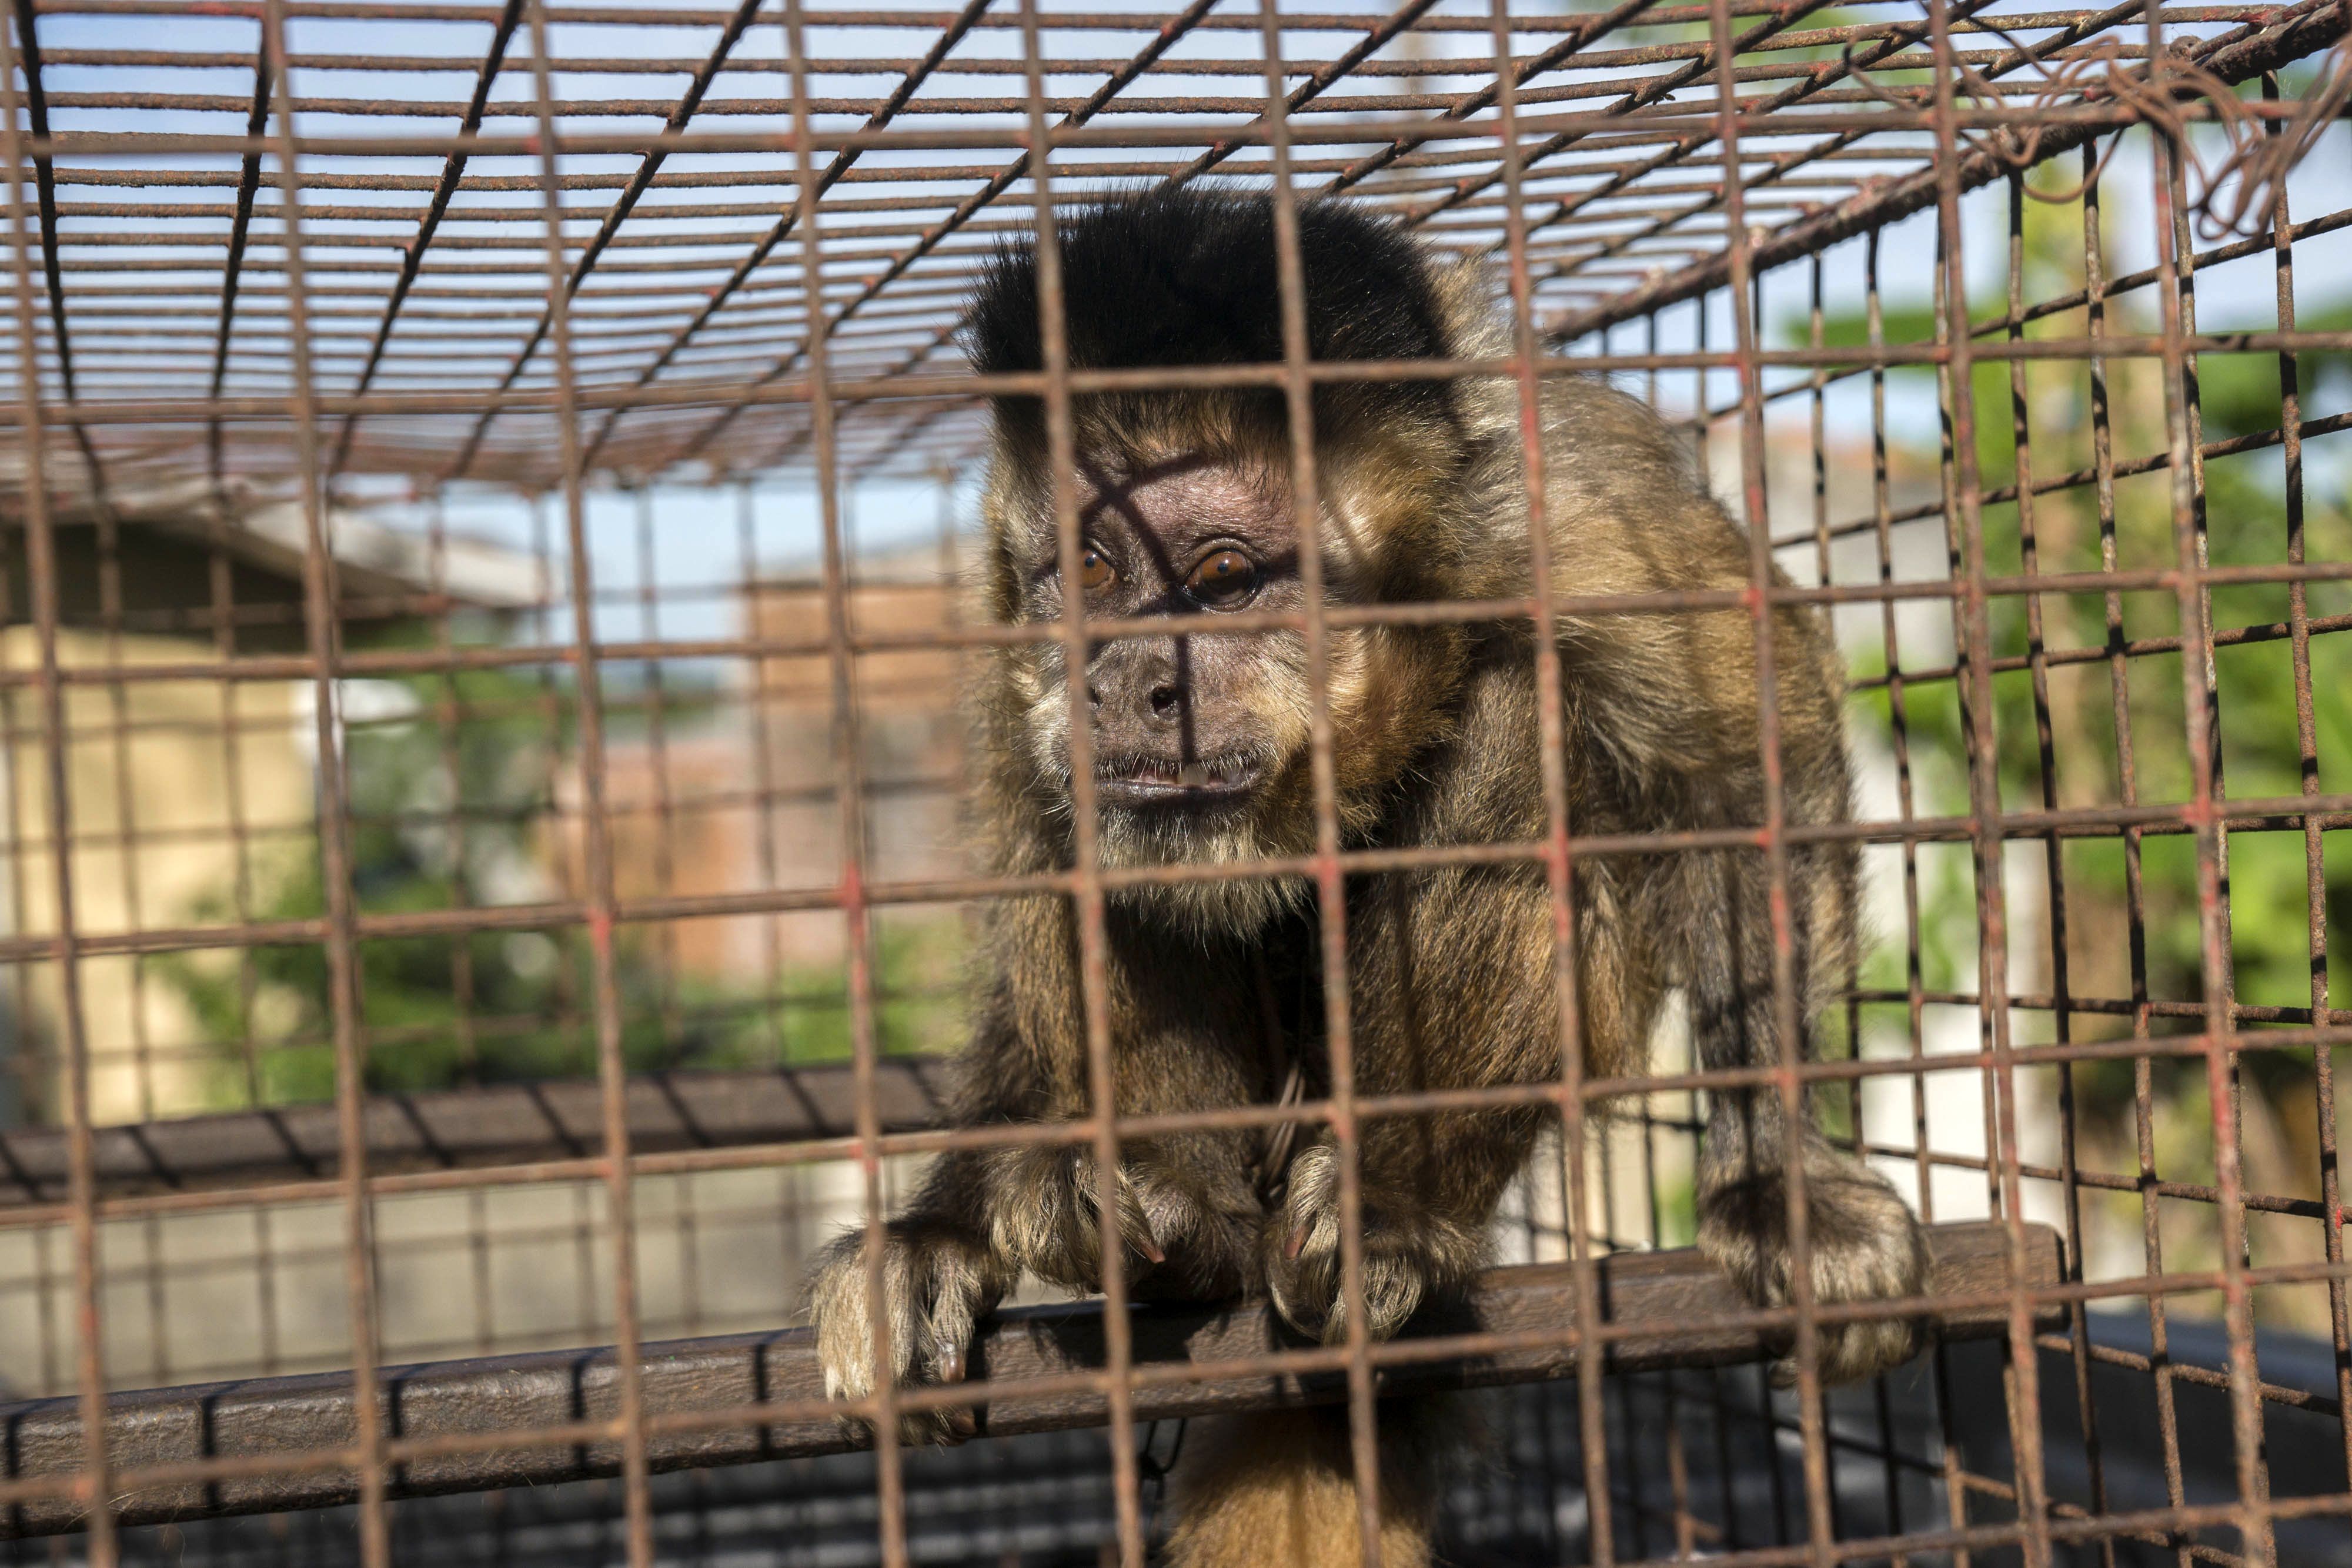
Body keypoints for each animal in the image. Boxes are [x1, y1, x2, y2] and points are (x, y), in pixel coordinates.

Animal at [806, 186, 1926, 1567]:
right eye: (1097, 576)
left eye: (1224, 579)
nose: (1125, 681)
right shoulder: (1001, 608)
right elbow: (1037, 853)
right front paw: (943, 1226)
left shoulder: (1566, 499)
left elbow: (1737, 783)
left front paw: (1785, 1180)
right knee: (1086, 832)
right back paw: (1181, 1234)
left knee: (1516, 709)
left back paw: (1388, 1199)